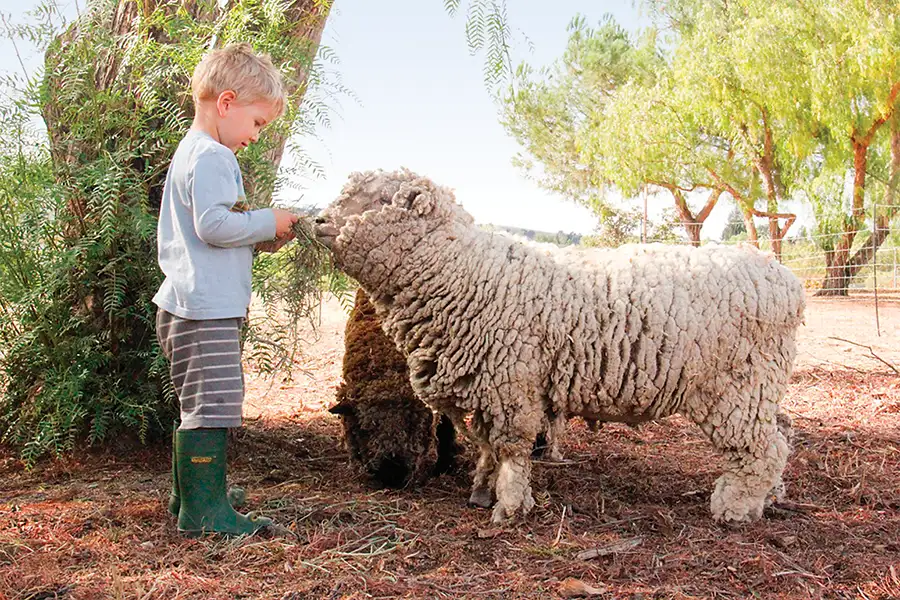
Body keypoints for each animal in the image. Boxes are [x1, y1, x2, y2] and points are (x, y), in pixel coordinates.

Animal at [314, 170, 800, 524]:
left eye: (380, 198)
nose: (317, 220)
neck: (460, 270)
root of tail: (783, 277)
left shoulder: (510, 385)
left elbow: (511, 449)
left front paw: (509, 507)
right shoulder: (487, 384)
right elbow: (488, 446)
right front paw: (482, 491)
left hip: (735, 389)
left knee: (762, 451)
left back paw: (735, 509)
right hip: (760, 387)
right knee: (781, 433)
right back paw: (770, 497)